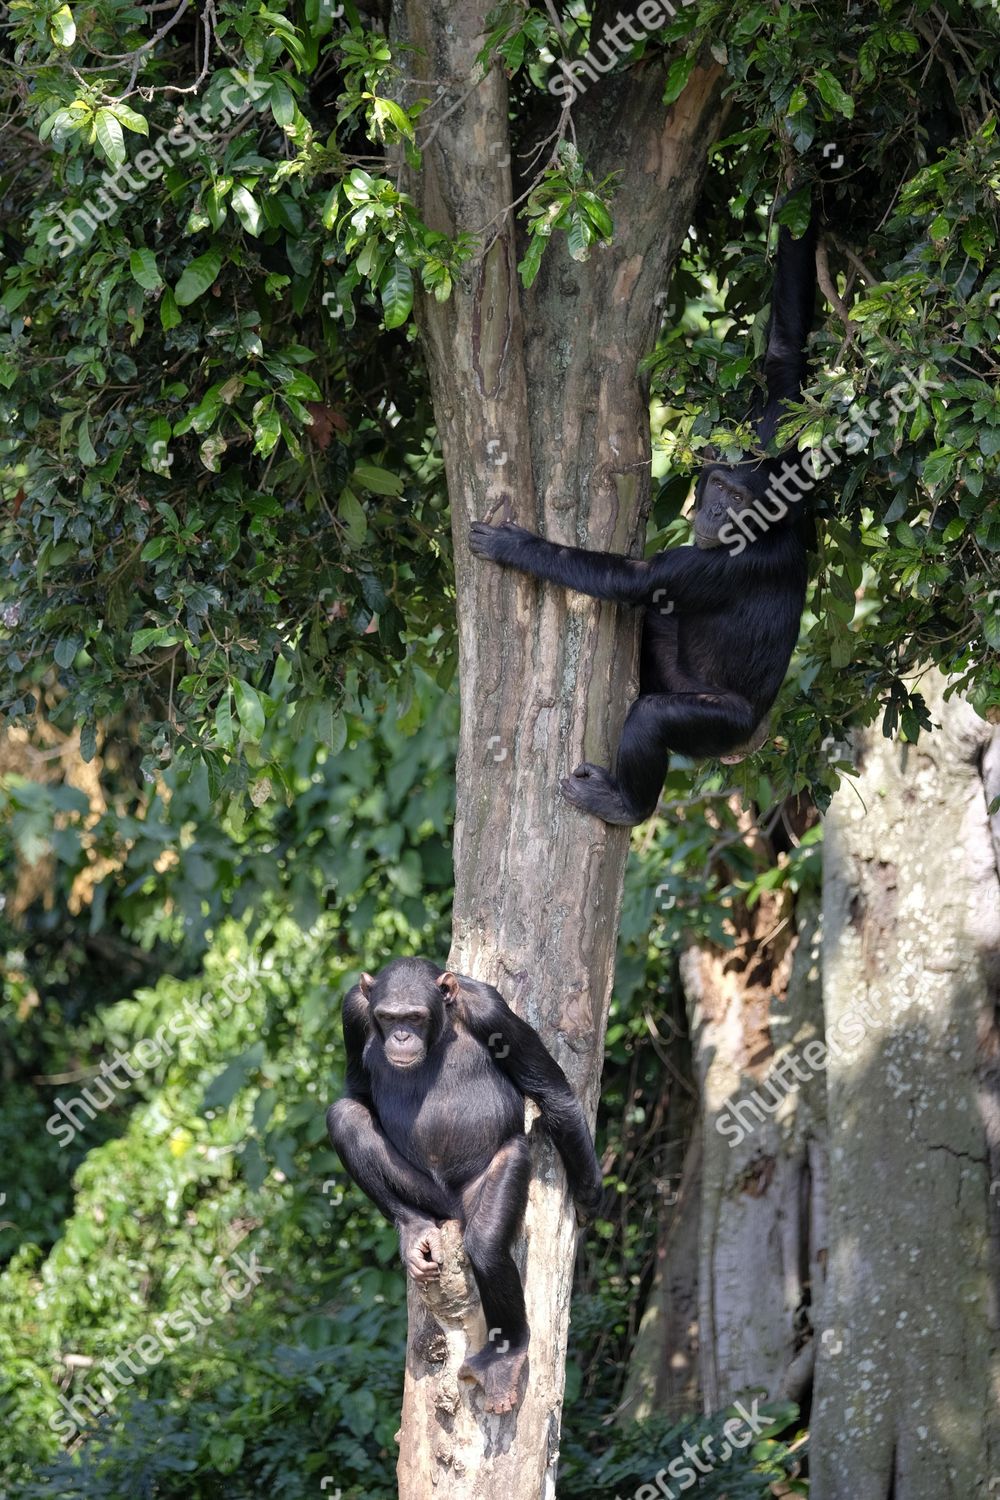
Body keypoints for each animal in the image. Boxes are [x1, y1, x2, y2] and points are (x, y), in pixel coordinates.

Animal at [326, 954, 602, 1410]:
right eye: (387, 1018)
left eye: (415, 1018)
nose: (401, 1035)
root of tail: (452, 1209)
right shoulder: (353, 1012)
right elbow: (357, 1093)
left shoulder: (492, 1011)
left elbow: (551, 1092)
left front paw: (588, 1195)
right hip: (423, 1193)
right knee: (344, 1116)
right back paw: (413, 1227)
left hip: (495, 1174)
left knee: (487, 1245)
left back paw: (506, 1355)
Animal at [464, 210, 815, 828]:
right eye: (718, 485)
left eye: (737, 500)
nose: (714, 509)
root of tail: (751, 739)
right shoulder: (773, 438)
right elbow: (783, 358)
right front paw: (809, 201)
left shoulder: (713, 566)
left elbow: (634, 578)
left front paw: (515, 546)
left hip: (721, 724)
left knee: (655, 716)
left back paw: (625, 803)